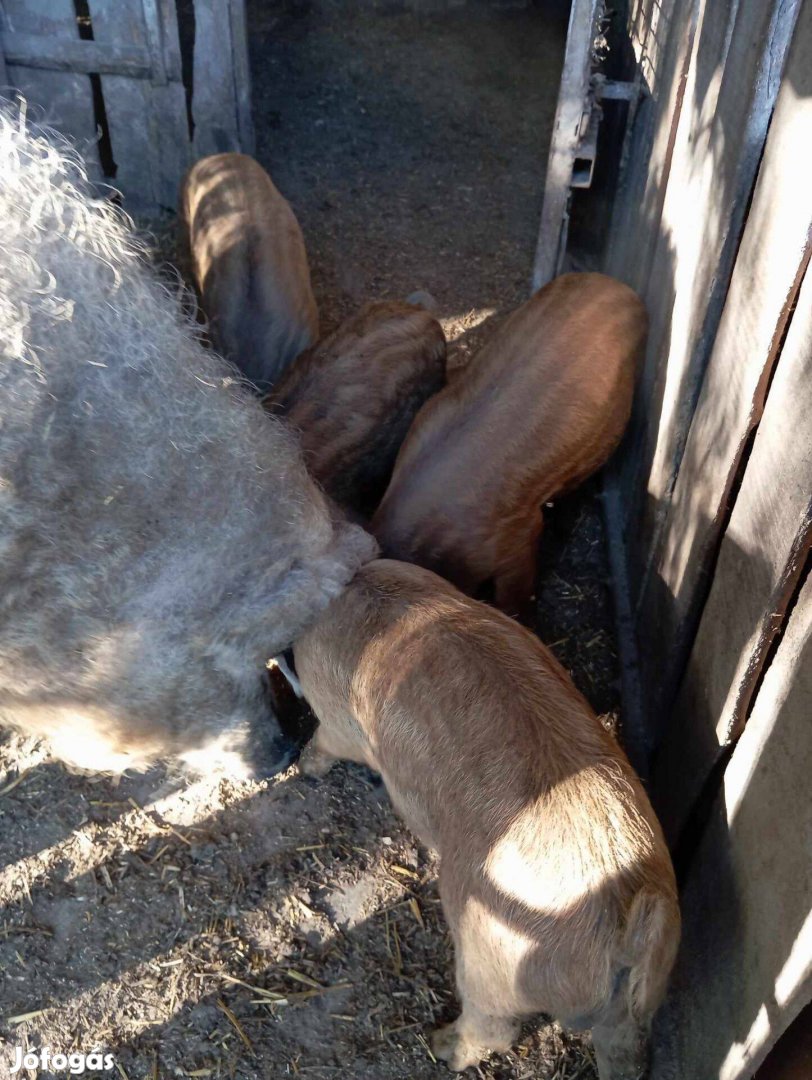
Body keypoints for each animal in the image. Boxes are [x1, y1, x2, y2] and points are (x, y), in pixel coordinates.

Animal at [291, 557, 678, 1080]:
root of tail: (627, 930)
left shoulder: (335, 717)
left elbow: (325, 741)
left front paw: (304, 767)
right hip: (632, 1009)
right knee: (626, 1050)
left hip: (485, 955)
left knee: (493, 1026)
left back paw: (438, 1044)